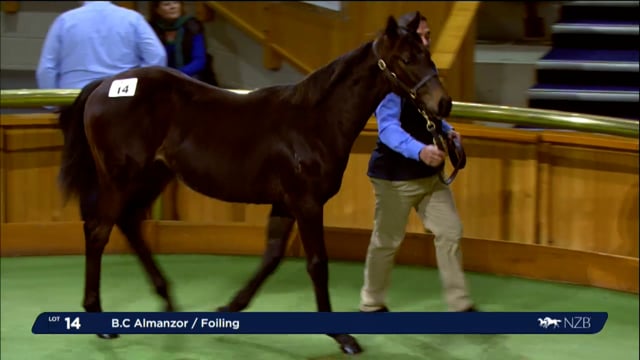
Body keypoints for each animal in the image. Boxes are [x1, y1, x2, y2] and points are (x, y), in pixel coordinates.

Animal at [57, 11, 452, 354]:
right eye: (405, 58)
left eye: (427, 53)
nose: (444, 103)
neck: (313, 121)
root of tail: (104, 85)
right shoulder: (306, 202)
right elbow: (317, 263)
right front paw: (343, 337)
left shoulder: (285, 204)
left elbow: (272, 257)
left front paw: (227, 309)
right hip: (120, 177)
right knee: (99, 230)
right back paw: (100, 317)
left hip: (151, 177)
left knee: (129, 223)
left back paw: (167, 301)